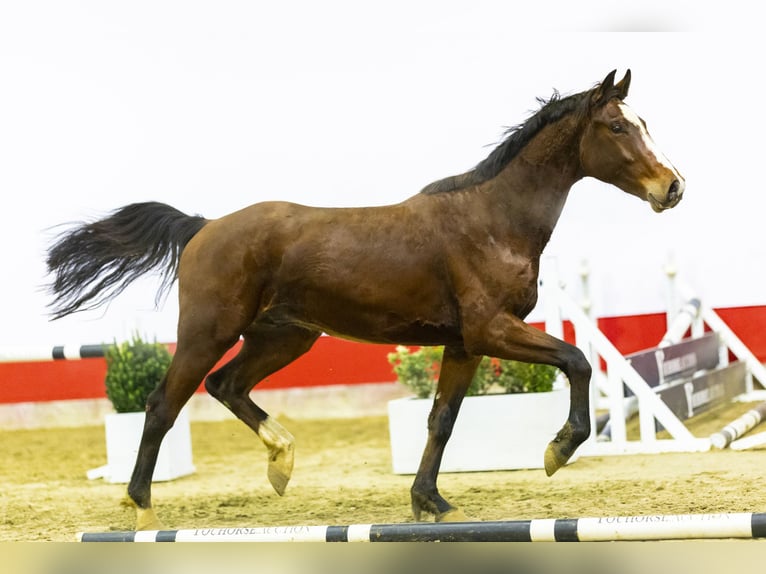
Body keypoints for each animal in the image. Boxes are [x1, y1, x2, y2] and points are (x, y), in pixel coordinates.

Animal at [45, 70, 688, 532]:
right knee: (163, 405)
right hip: (209, 332)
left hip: (286, 336)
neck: (492, 220)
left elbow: (442, 420)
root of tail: (203, 227)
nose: (673, 186)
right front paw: (558, 450)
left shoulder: (464, 344)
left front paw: (431, 502)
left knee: (226, 386)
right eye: (617, 128)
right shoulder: (491, 330)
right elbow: (577, 360)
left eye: (644, 121)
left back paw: (281, 461)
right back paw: (141, 506)